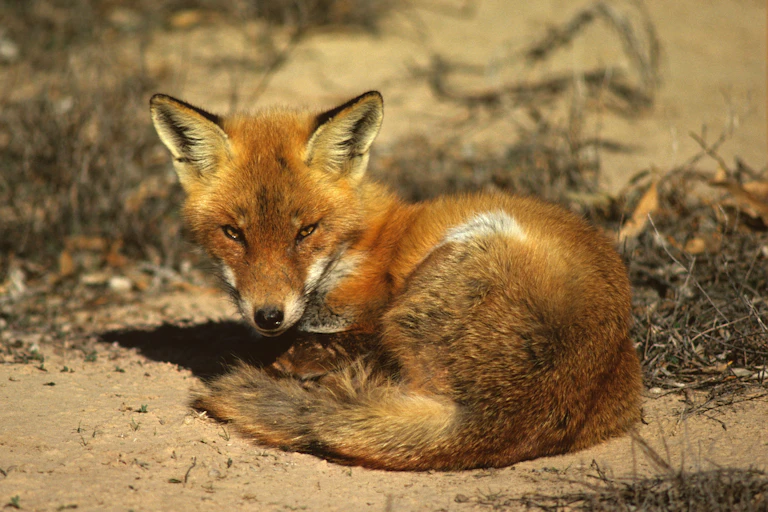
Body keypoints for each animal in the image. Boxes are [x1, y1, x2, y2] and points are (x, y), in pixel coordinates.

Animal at [149, 90, 642, 471]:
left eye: (306, 231)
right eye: (234, 233)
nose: (268, 316)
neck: (356, 250)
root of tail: (503, 415)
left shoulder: (362, 324)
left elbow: (315, 352)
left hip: (460, 253)